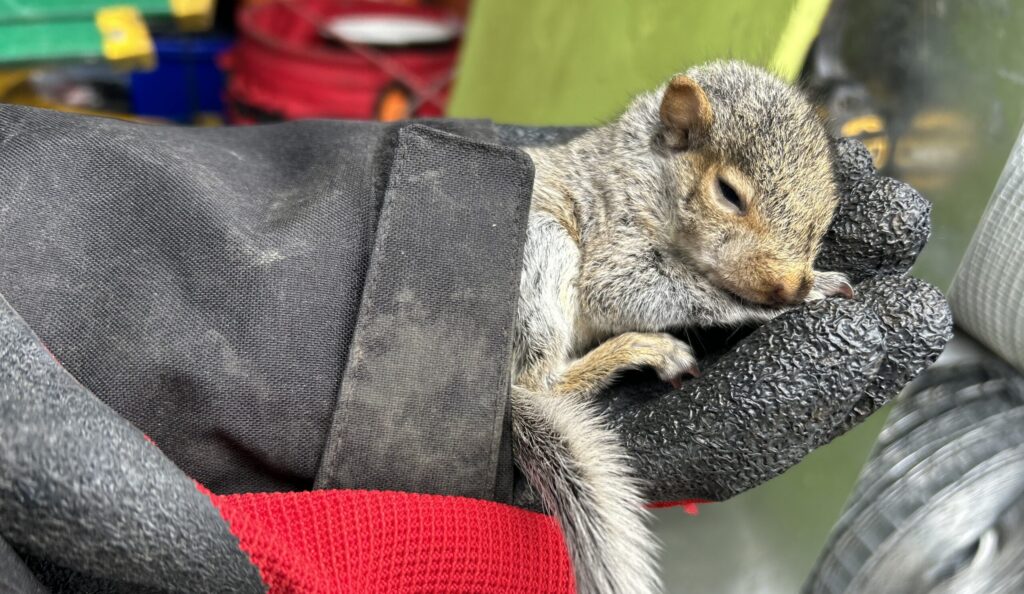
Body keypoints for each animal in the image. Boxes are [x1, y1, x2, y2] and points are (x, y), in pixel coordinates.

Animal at [509, 61, 854, 593]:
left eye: (825, 213)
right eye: (728, 193)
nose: (789, 285)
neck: (646, 172)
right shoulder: (612, 243)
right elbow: (629, 291)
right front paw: (786, 302)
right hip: (541, 255)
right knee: (540, 381)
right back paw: (642, 349)